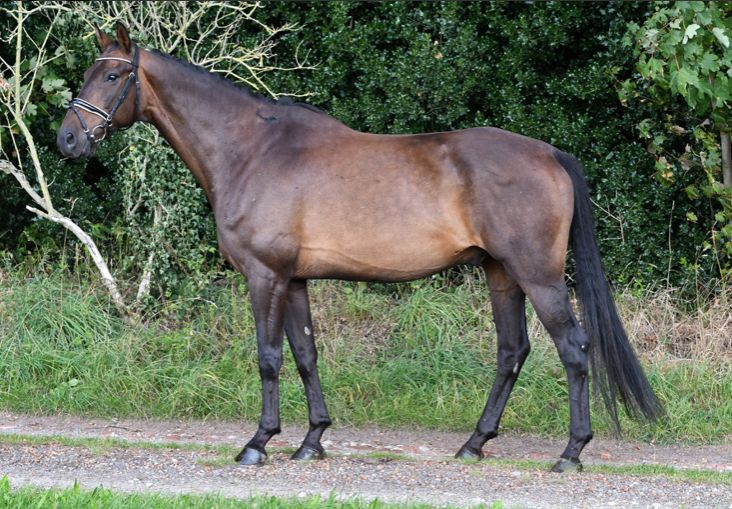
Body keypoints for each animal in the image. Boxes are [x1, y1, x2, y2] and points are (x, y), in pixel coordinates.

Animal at [57, 23, 663, 473]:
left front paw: (258, 442)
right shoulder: (294, 279)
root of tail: (549, 154)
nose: (68, 139)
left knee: (573, 348)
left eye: (113, 74)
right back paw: (474, 443)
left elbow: (269, 357)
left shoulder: (265, 275)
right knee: (512, 352)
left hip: (537, 275)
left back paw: (571, 453)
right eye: (87, 72)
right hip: (500, 274)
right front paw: (312, 441)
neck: (251, 150)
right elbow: (305, 355)